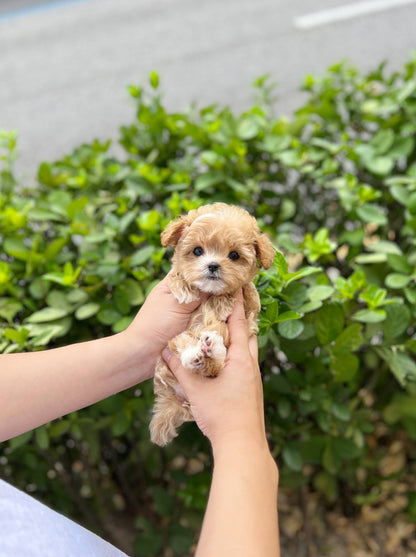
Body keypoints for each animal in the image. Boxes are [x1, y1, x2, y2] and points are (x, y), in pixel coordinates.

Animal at [150, 202, 276, 446]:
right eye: (198, 251)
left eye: (234, 255)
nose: (213, 266)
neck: (210, 293)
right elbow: (176, 275)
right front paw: (185, 290)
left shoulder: (248, 311)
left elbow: (244, 293)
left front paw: (223, 302)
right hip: (172, 347)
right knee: (186, 350)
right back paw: (197, 354)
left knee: (212, 366)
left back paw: (211, 348)